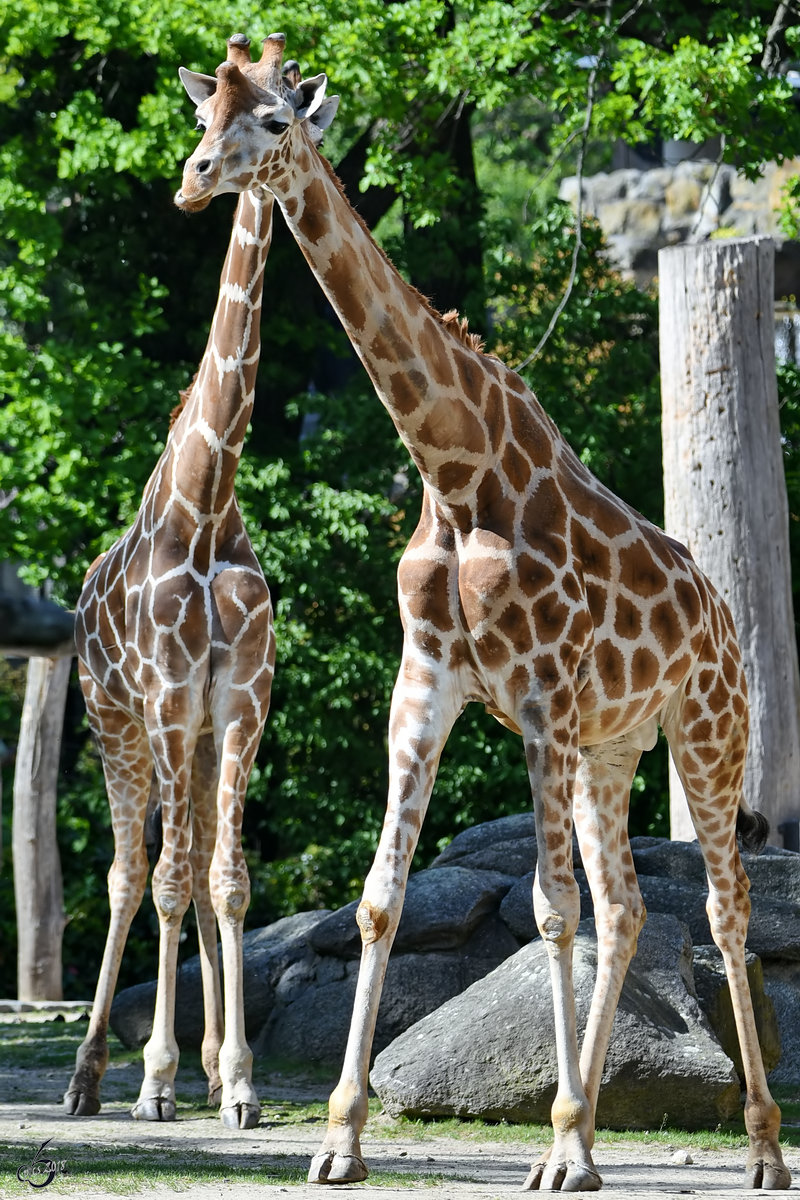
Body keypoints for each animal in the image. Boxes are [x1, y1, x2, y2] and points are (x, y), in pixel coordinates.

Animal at [172, 30, 791, 1190]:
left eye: (274, 119)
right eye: (202, 117)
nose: (192, 182)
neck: (456, 469)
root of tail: (723, 618)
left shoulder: (539, 690)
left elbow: (548, 910)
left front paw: (560, 1145)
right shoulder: (427, 682)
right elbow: (380, 898)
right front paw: (339, 1139)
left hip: (706, 729)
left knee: (725, 911)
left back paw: (761, 1148)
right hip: (609, 750)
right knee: (631, 906)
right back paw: (593, 1131)